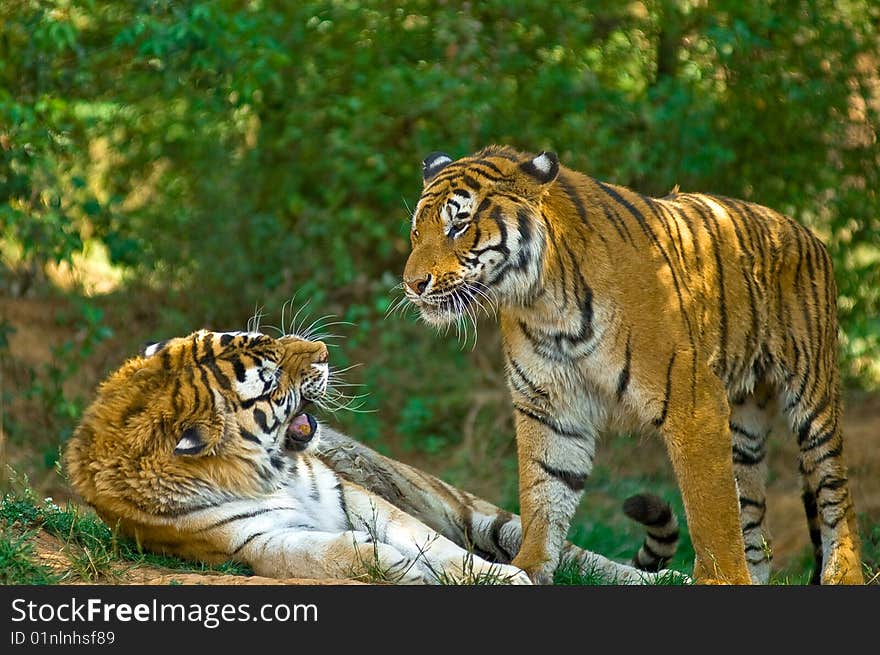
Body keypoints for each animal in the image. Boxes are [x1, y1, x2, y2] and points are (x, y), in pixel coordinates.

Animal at [65, 328, 684, 584]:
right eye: (269, 380)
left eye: (264, 335)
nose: (323, 350)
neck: (273, 471)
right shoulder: (261, 541)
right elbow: (348, 557)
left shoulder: (356, 497)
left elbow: (432, 543)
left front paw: (495, 577)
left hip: (486, 516)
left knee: (581, 558)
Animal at [402, 144, 864, 584]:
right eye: (417, 231)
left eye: (458, 225)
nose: (412, 284)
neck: (545, 304)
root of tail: (805, 231)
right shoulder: (550, 406)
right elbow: (543, 494)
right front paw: (527, 567)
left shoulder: (693, 402)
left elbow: (709, 507)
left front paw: (722, 580)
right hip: (744, 428)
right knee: (755, 521)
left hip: (812, 397)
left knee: (835, 494)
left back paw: (843, 573)